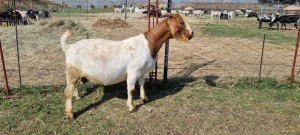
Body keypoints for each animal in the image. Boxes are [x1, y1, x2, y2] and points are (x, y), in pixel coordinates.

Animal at [61, 13, 195, 119]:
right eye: (181, 21)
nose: (192, 33)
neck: (148, 44)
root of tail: (69, 47)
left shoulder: (142, 72)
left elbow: (142, 84)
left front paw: (145, 98)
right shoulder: (133, 71)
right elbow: (131, 90)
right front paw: (131, 107)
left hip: (76, 75)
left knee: (74, 88)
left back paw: (77, 97)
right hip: (72, 73)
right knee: (67, 93)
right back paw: (70, 114)